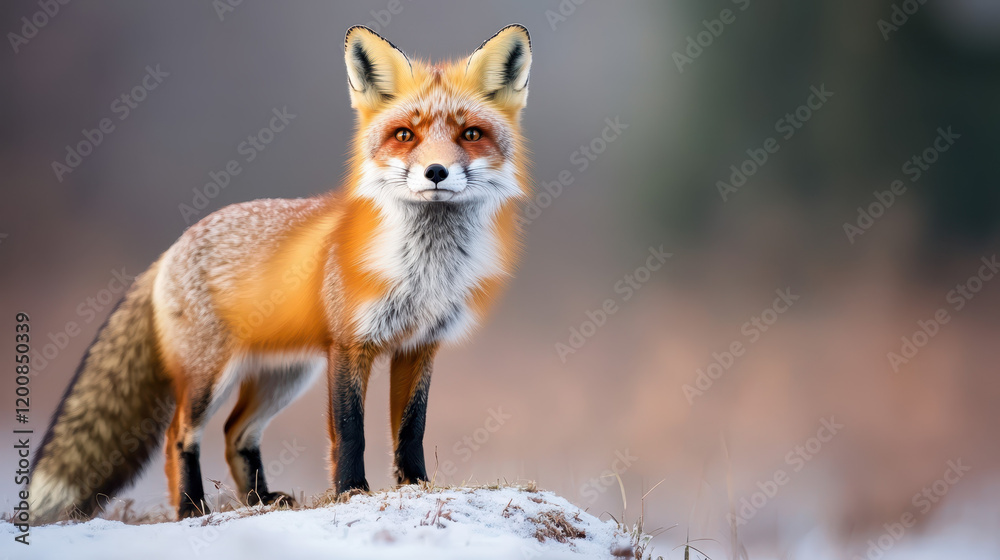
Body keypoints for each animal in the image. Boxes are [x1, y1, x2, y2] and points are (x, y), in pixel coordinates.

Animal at [29, 24, 532, 523]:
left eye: (471, 133)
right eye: (405, 134)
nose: (436, 171)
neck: (424, 269)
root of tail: (173, 247)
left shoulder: (419, 346)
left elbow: (411, 428)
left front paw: (416, 486)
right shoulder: (350, 346)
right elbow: (351, 431)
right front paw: (352, 490)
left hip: (285, 376)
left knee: (236, 433)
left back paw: (259, 500)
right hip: (210, 376)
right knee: (180, 436)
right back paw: (192, 508)